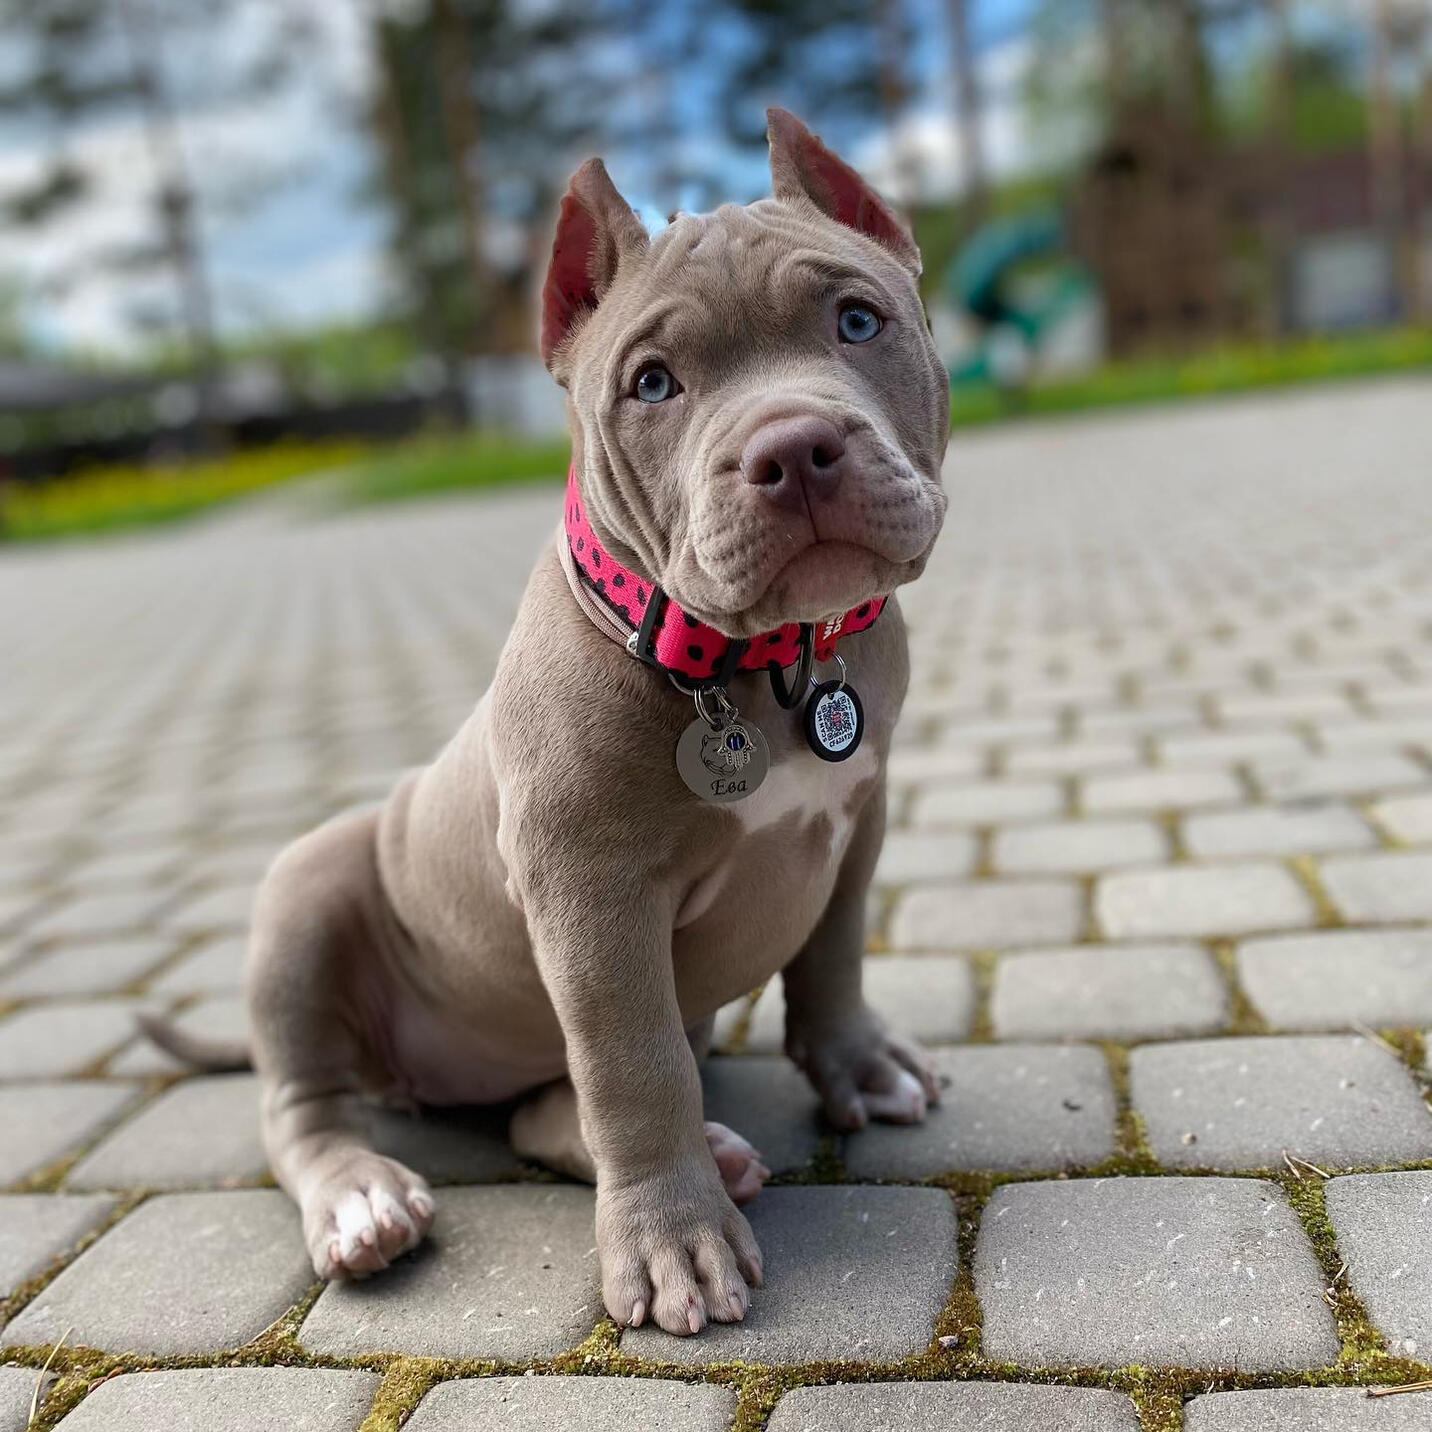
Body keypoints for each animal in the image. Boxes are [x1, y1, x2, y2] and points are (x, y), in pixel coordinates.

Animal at [153, 105, 950, 1334]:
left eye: (858, 320)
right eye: (654, 384)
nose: (791, 448)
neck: (769, 664)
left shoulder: (856, 819)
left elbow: (832, 956)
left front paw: (859, 1066)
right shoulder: (591, 893)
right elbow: (633, 1067)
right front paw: (673, 1243)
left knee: (541, 1107)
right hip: (308, 888)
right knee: (303, 1108)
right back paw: (363, 1200)